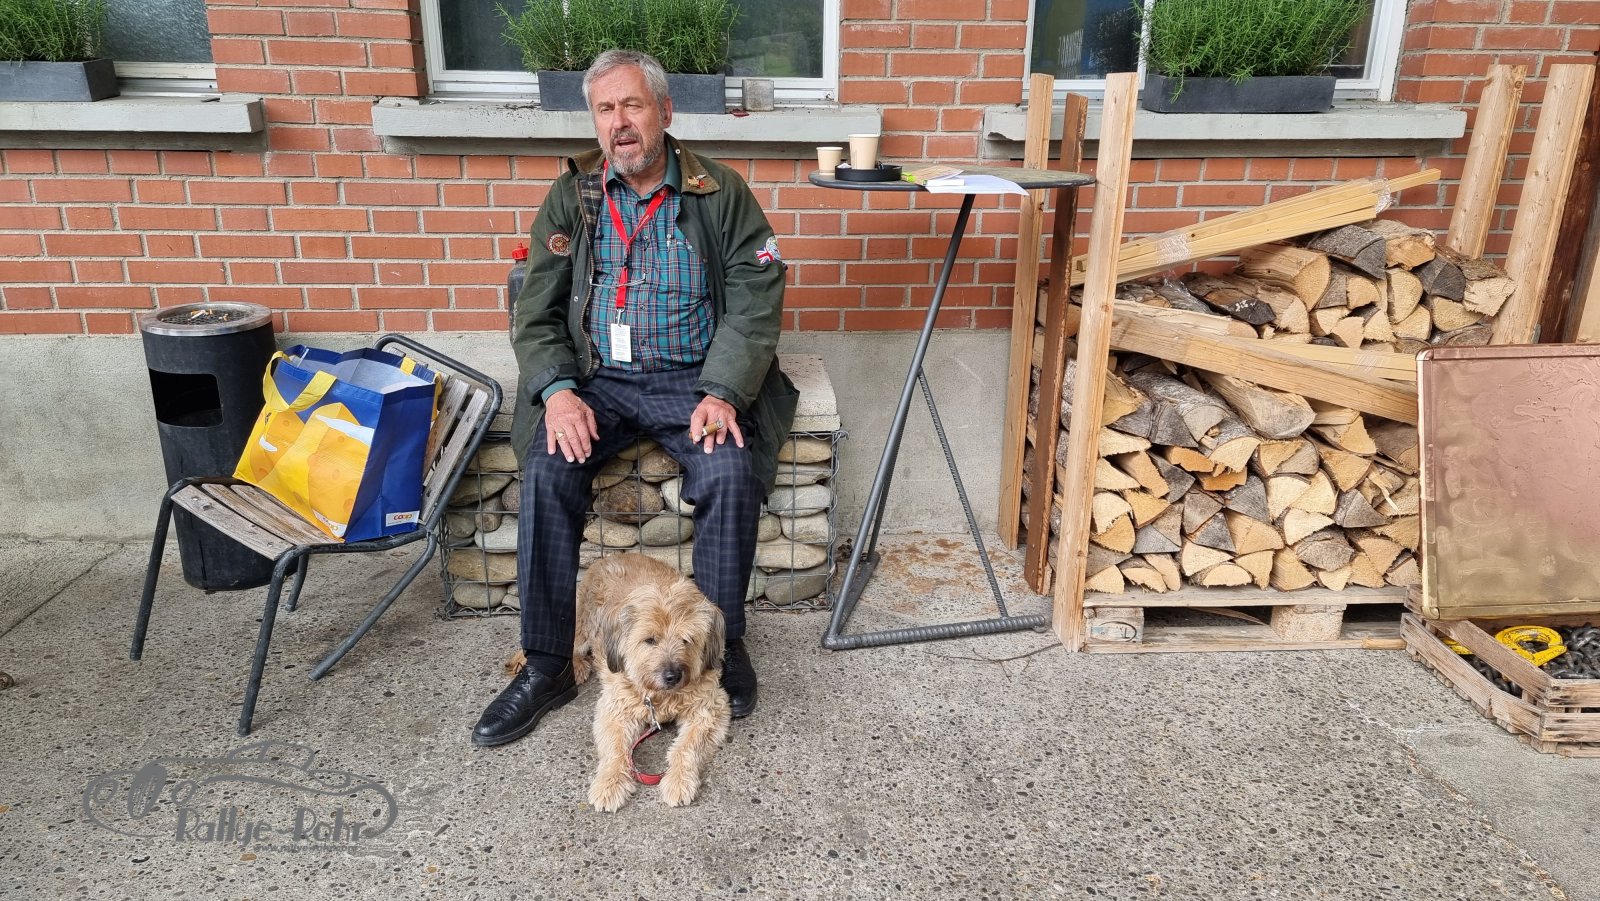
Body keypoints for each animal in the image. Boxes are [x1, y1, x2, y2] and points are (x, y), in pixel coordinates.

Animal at [572, 552, 731, 812]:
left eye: (686, 639)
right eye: (649, 640)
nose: (672, 676)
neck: (661, 696)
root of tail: (607, 557)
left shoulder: (709, 708)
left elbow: (686, 747)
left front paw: (678, 780)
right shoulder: (614, 708)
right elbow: (616, 748)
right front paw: (609, 782)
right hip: (583, 626)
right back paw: (577, 666)